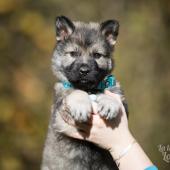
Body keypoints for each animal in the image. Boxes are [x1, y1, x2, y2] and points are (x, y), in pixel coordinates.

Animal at [41, 15, 127, 170]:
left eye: (97, 55)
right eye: (73, 54)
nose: (84, 70)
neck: (88, 89)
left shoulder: (121, 100)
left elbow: (111, 95)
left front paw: (109, 104)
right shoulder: (60, 118)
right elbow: (74, 92)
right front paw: (81, 106)